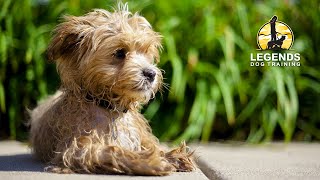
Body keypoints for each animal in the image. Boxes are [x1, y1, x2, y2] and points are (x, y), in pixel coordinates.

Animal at [29, 2, 195, 175]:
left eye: (146, 52)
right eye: (120, 52)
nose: (151, 73)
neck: (109, 107)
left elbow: (149, 144)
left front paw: (172, 156)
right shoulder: (77, 149)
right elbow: (113, 151)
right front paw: (151, 161)